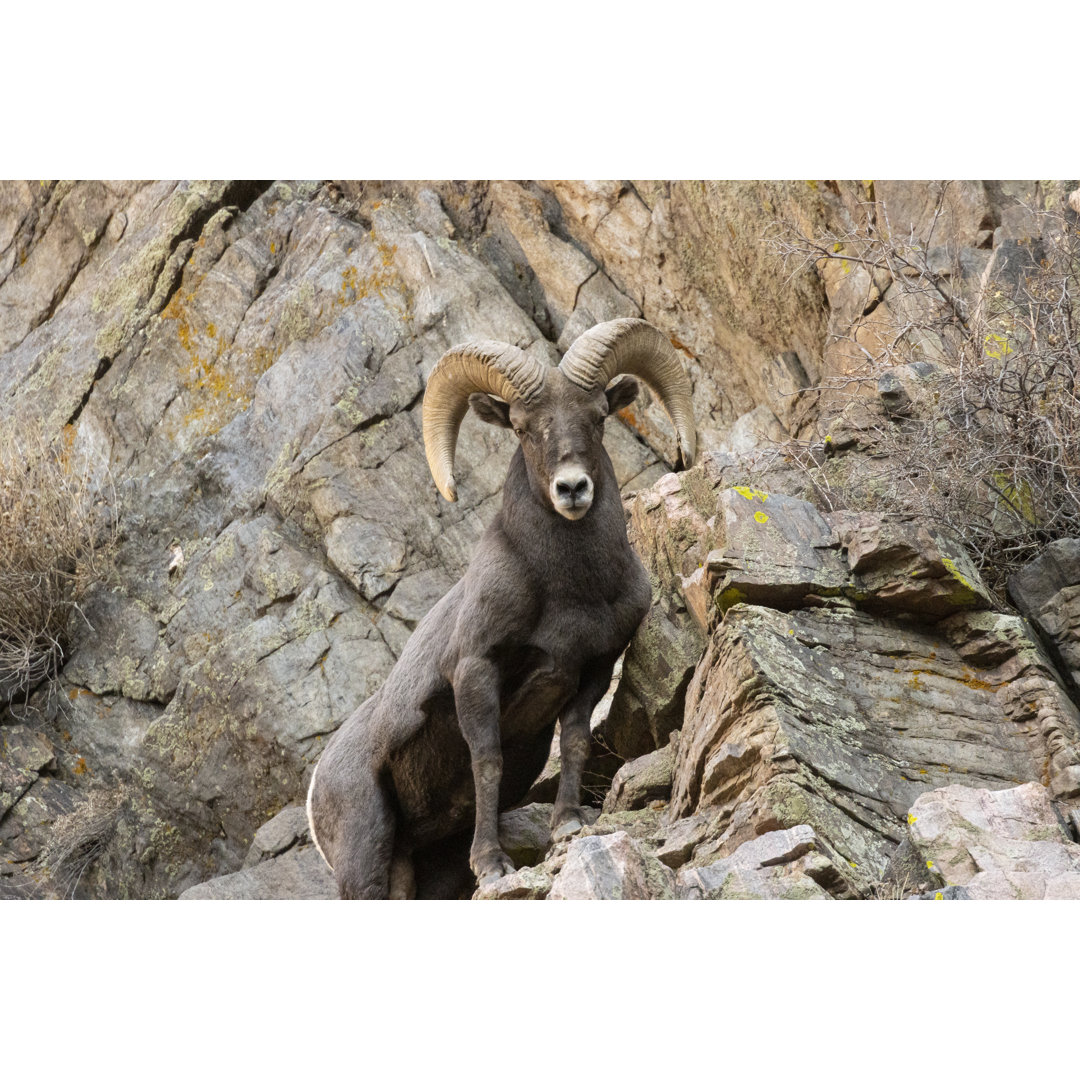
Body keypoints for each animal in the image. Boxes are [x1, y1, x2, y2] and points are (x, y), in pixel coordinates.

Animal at [306, 318, 697, 898]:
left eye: (599, 416)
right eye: (520, 428)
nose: (572, 488)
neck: (569, 591)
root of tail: (316, 788)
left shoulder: (593, 668)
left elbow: (575, 740)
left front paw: (568, 824)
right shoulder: (476, 672)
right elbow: (485, 763)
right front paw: (492, 864)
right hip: (364, 851)